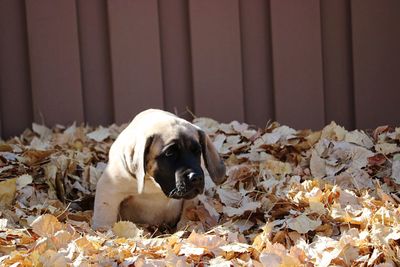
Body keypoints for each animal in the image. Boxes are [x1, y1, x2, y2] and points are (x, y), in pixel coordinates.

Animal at [92, 109, 227, 230]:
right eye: (170, 153)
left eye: (197, 151)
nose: (196, 177)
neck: (154, 184)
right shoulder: (110, 189)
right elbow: (105, 216)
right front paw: (104, 232)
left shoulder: (192, 198)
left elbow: (188, 211)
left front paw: (187, 228)